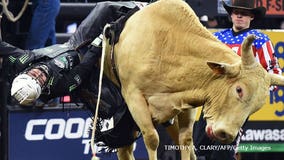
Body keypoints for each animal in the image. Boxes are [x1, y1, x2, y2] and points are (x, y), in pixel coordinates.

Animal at [99, 0, 284, 159]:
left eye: (256, 107)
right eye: (239, 89)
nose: (226, 134)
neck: (168, 45)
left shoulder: (185, 99)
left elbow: (186, 141)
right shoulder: (134, 97)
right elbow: (152, 139)